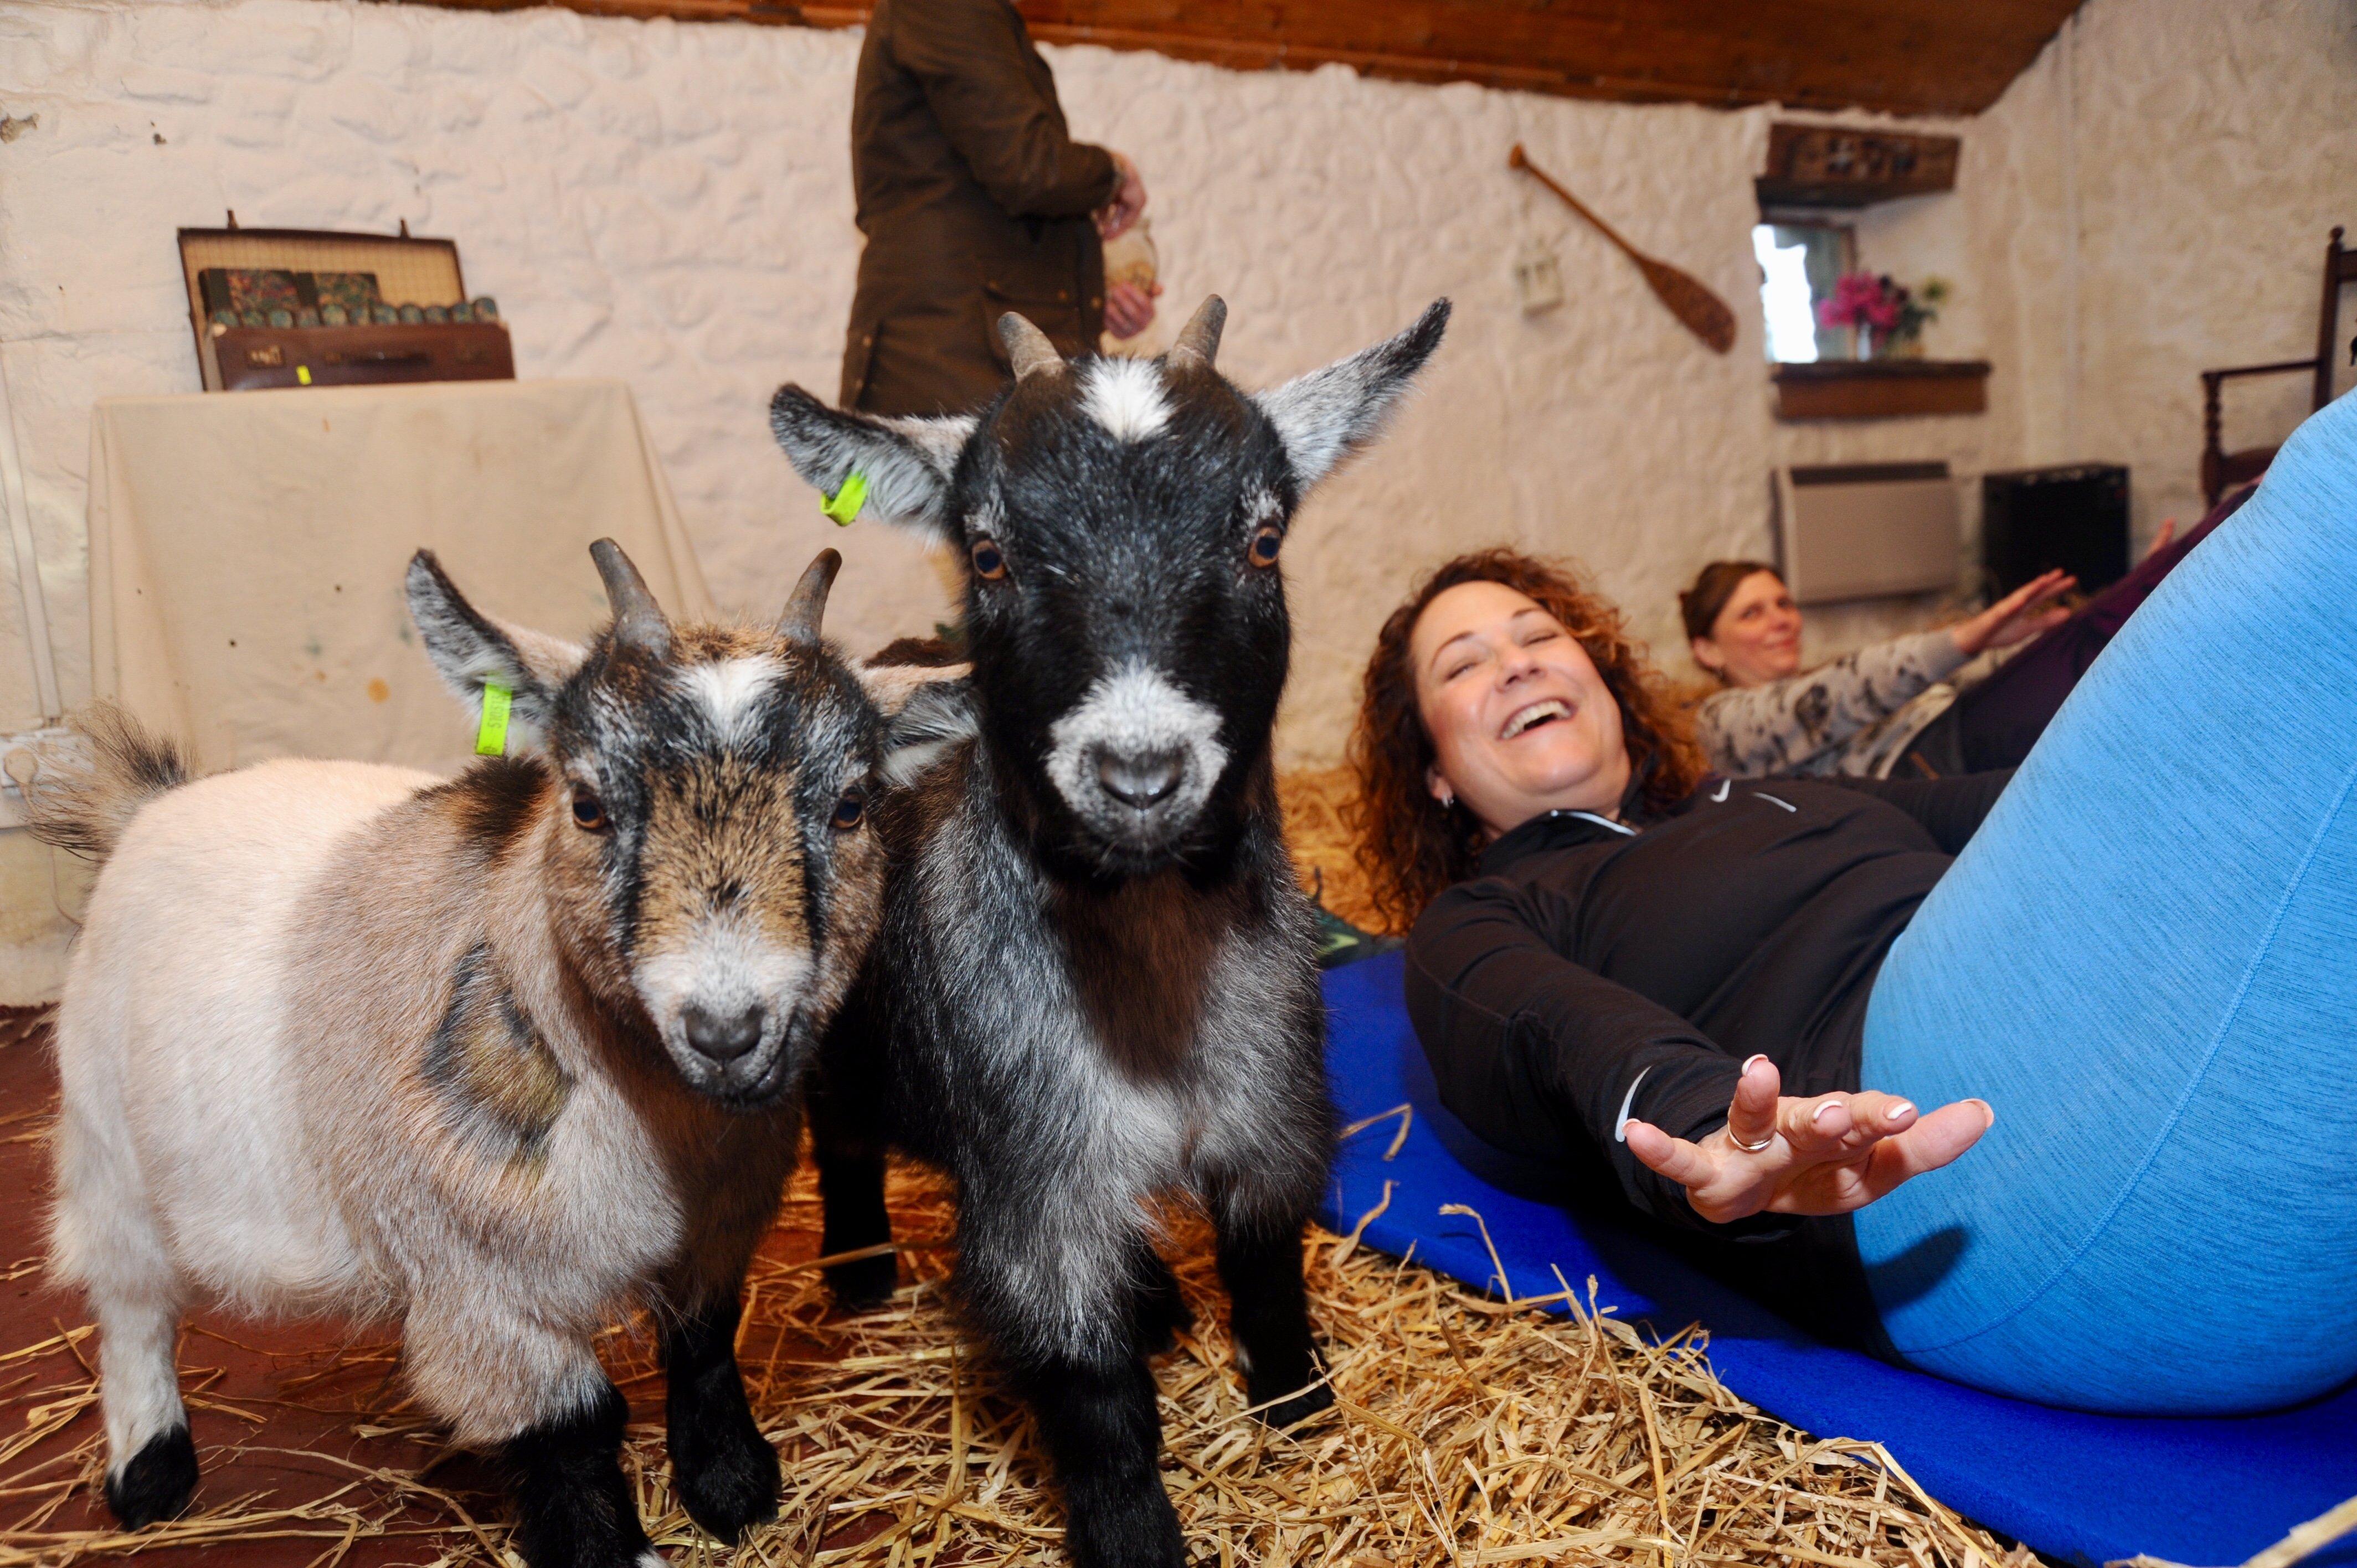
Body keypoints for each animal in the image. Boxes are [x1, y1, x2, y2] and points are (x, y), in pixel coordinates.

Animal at [28, 542, 921, 1568]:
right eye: (586, 804)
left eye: (852, 805)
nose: (727, 1029)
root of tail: (148, 806)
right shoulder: (486, 1291)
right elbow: (574, 1429)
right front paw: (617, 1548)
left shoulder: (717, 1227)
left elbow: (703, 1346)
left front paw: (733, 1486)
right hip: (108, 1143)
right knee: (129, 1300)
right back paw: (150, 1474)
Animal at [767, 296, 1449, 1568]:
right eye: (987, 552)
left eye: (1264, 539)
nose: (1139, 773)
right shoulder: (1038, 1183)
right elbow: (1089, 1393)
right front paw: (1134, 1536)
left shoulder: (1269, 1112)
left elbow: (1265, 1264)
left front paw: (1297, 1408)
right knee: (841, 1134)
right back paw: (860, 1273)